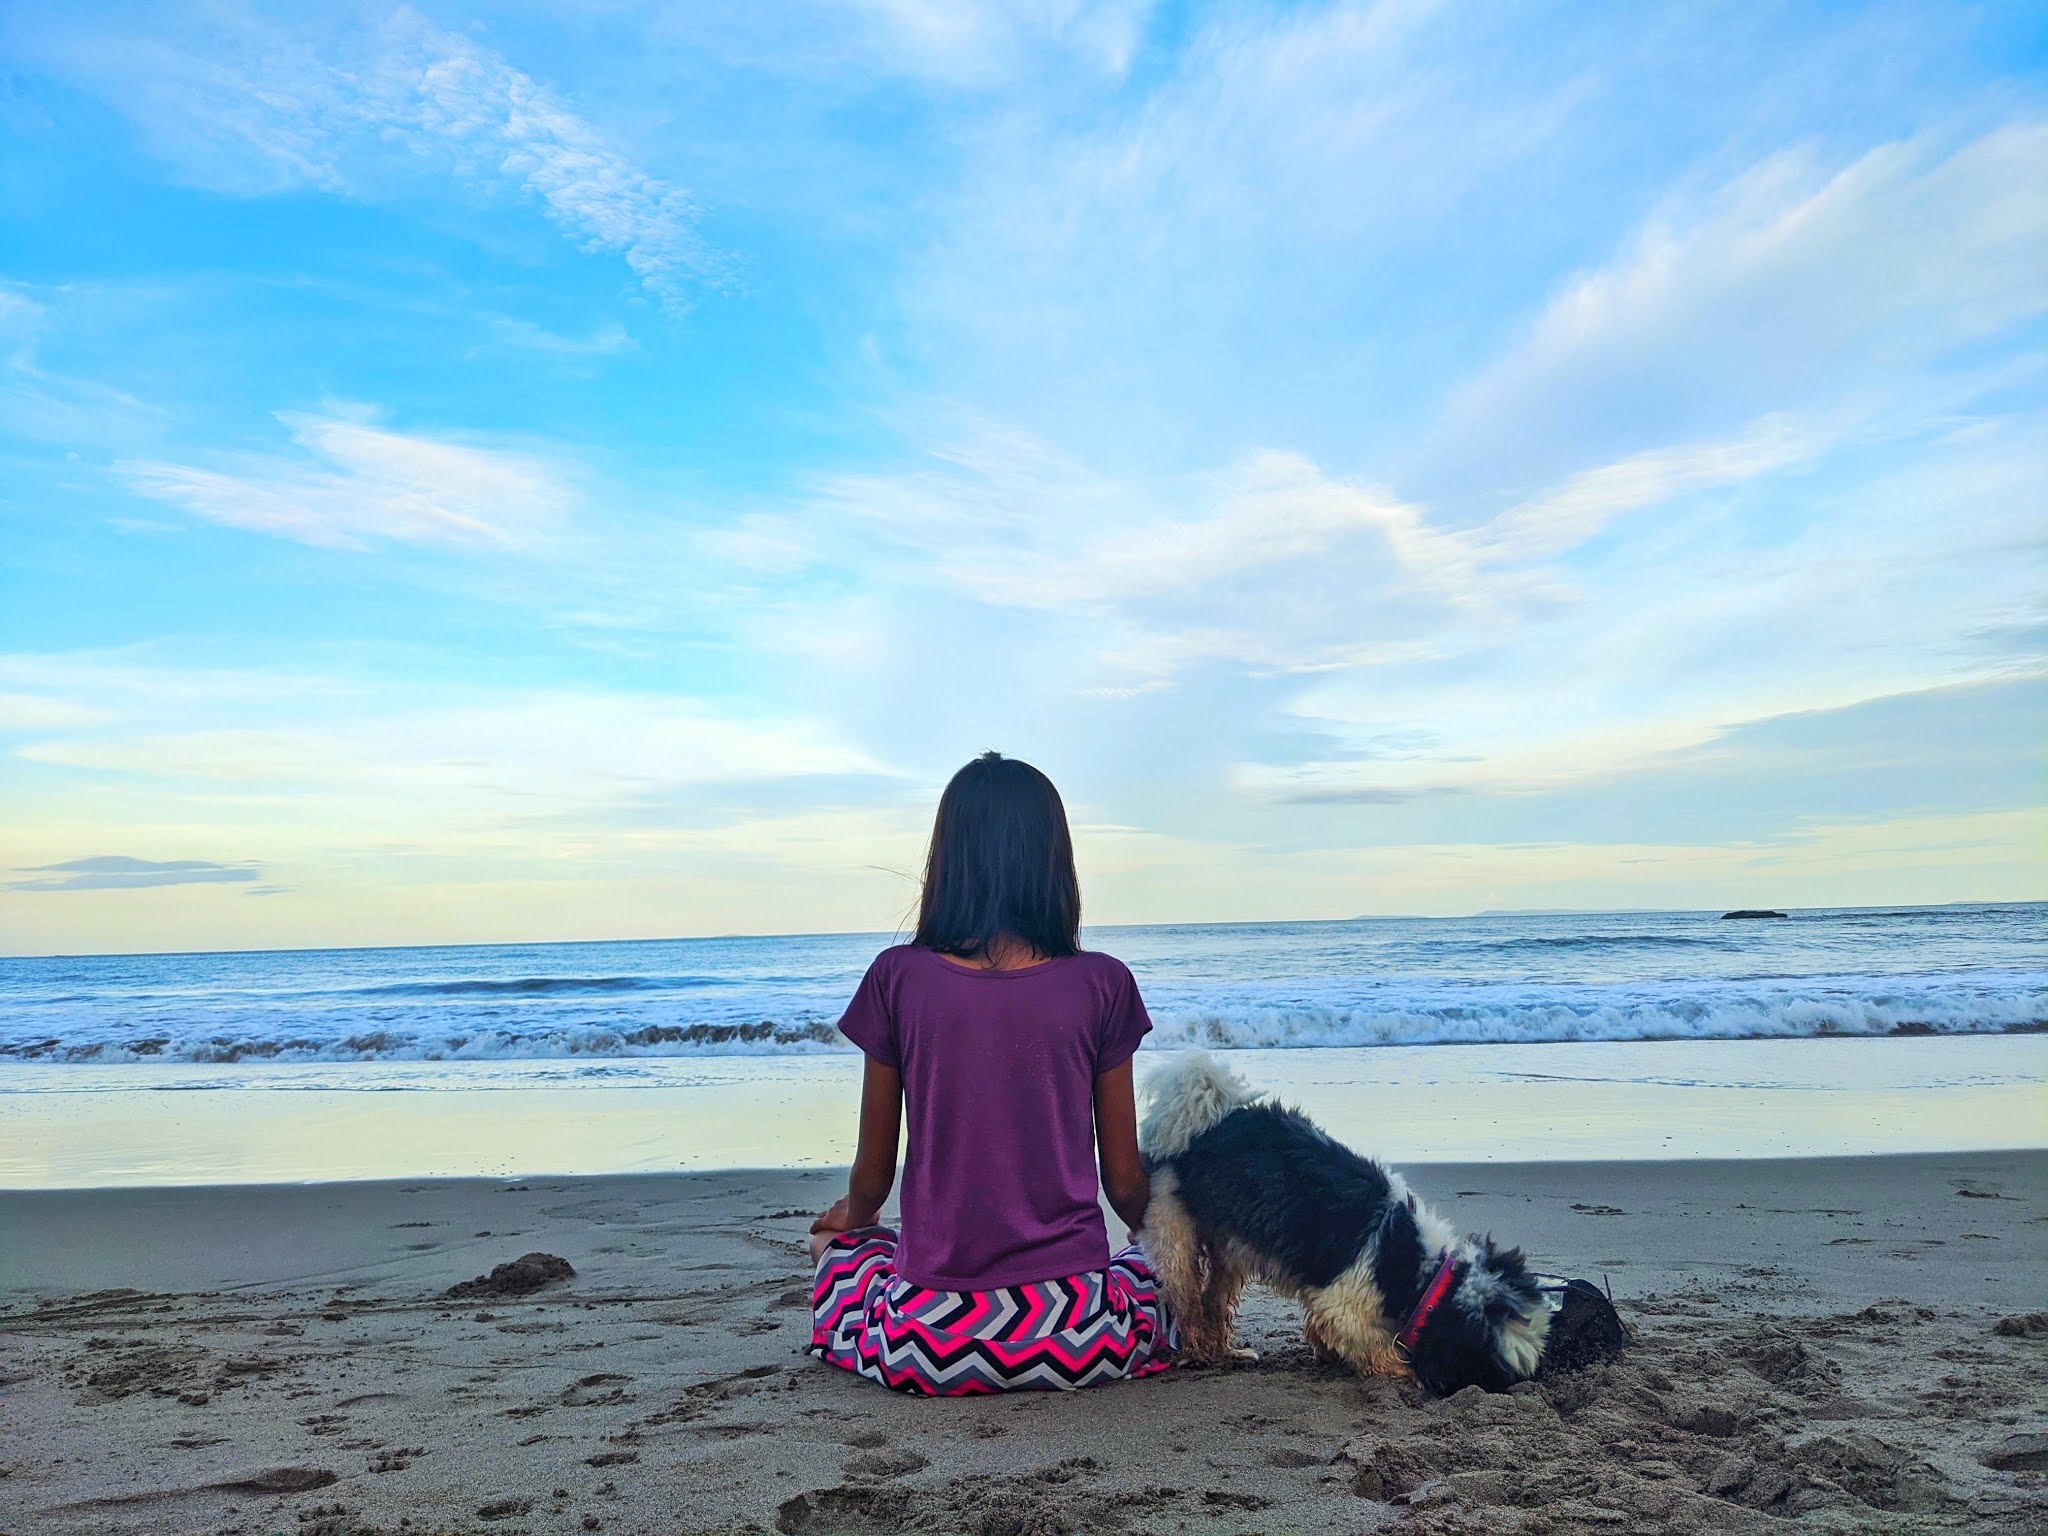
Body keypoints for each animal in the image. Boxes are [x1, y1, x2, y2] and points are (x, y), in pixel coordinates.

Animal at [1138, 1056, 1548, 1392]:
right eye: (1487, 1370)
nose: (1514, 1388)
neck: (1424, 1272)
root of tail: (1203, 1116)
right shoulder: (1346, 1301)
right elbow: (1373, 1343)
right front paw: (1403, 1371)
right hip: (1173, 1228)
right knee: (1187, 1297)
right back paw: (1198, 1351)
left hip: (1229, 1243)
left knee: (1214, 1298)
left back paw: (1226, 1351)